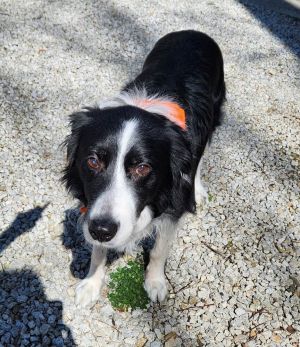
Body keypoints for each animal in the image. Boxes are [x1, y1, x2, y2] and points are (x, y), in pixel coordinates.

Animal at [62, 29, 225, 308]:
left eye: (143, 167)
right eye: (92, 161)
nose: (101, 230)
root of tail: (193, 31)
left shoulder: (174, 202)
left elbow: (160, 249)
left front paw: (155, 283)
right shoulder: (95, 209)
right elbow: (97, 250)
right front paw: (92, 283)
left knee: (201, 156)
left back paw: (199, 188)